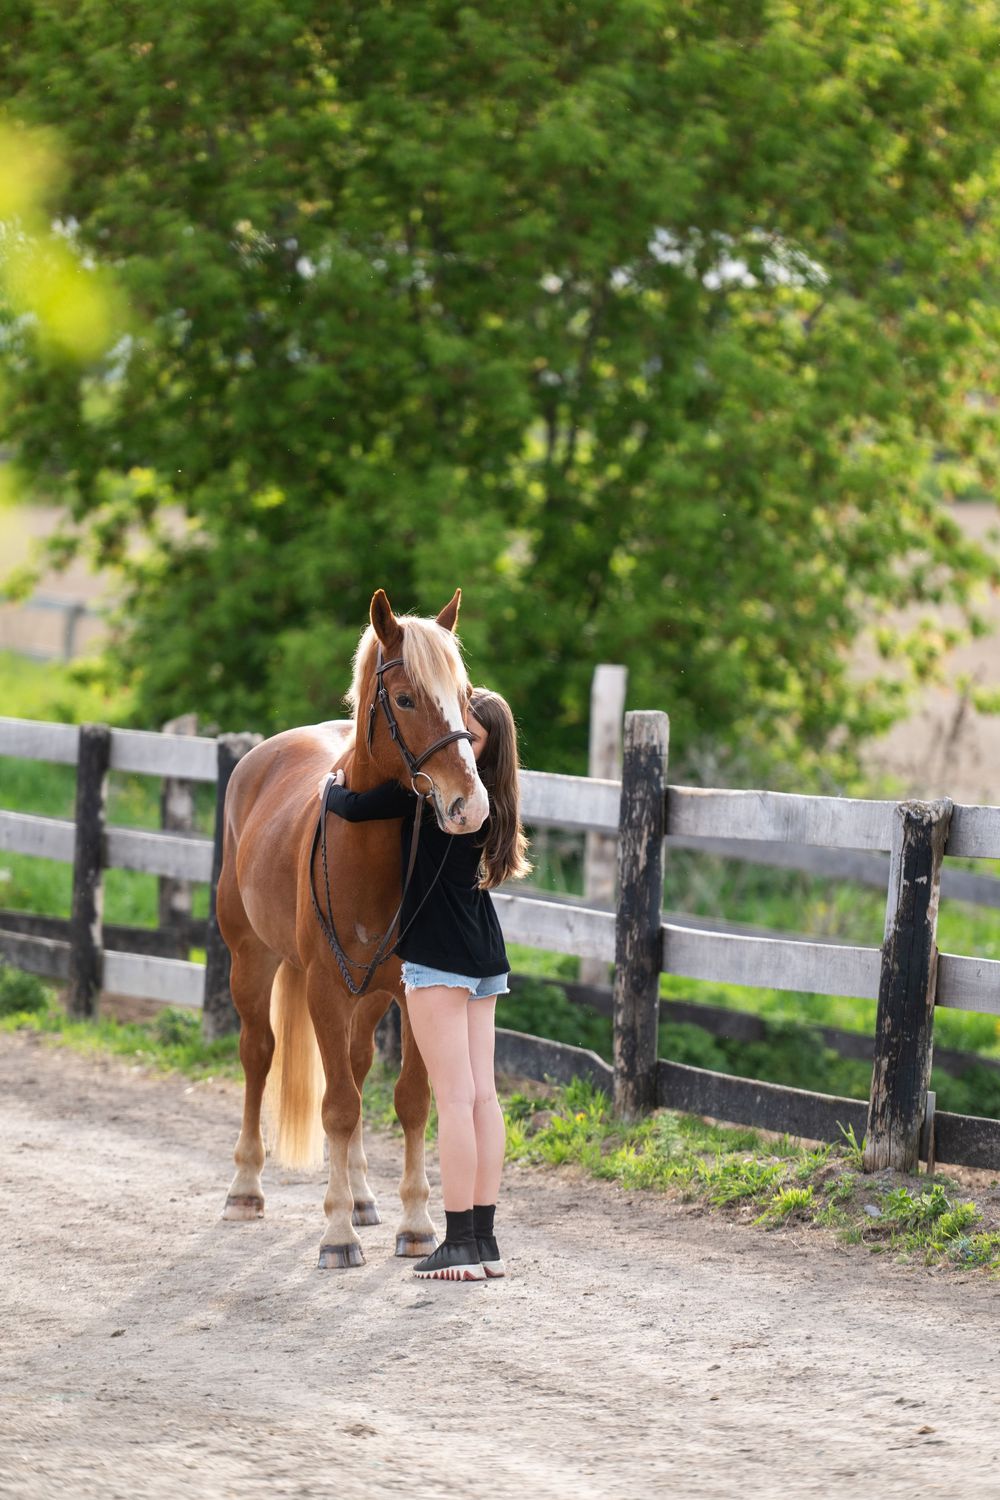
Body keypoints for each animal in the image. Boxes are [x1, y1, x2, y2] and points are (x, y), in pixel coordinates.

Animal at [216, 587, 490, 1268]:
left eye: (465, 694)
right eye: (407, 698)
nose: (469, 805)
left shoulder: (415, 990)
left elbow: (411, 1101)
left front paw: (415, 1222)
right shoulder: (322, 990)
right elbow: (337, 1106)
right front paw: (336, 1233)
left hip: (366, 997)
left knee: (360, 1066)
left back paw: (365, 1197)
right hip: (250, 961)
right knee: (259, 1055)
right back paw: (245, 1187)